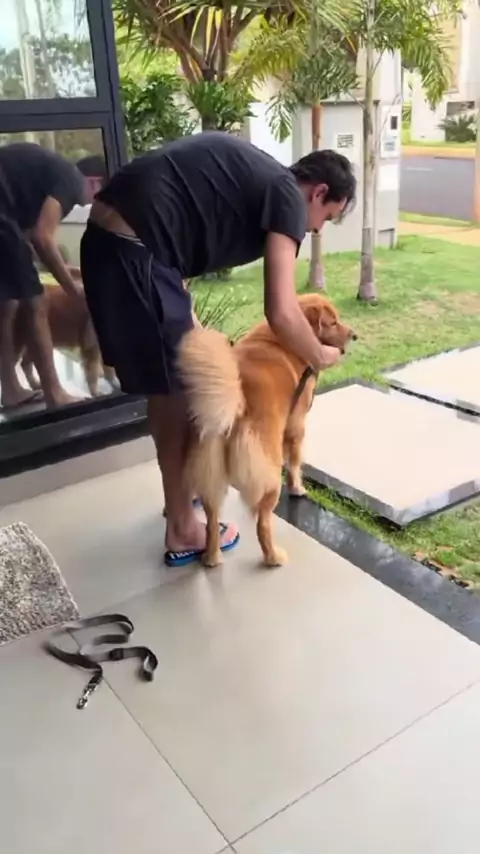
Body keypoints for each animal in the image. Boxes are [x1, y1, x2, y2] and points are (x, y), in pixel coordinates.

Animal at [178, 293, 356, 568]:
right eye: (333, 322)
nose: (353, 335)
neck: (281, 341)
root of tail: (234, 405)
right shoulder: (296, 425)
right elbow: (295, 463)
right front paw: (298, 488)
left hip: (210, 477)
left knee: (211, 523)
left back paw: (212, 557)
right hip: (268, 478)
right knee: (262, 524)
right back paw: (273, 557)